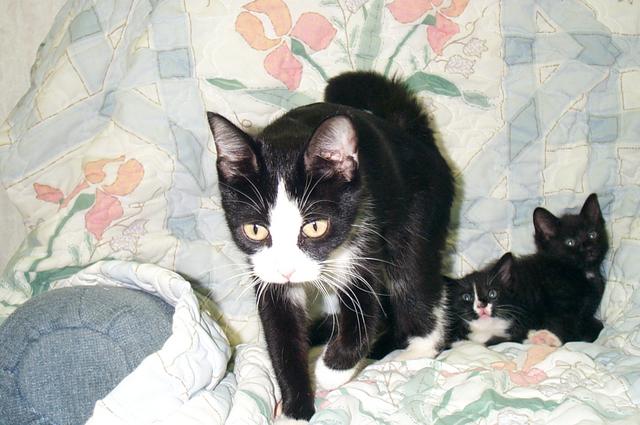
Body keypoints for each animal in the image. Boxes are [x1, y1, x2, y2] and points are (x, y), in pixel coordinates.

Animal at [207, 71, 454, 421]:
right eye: (255, 229)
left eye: (315, 226)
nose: (287, 270)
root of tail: (410, 133)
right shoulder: (265, 273)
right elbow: (281, 331)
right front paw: (295, 411)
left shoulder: (363, 230)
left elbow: (365, 311)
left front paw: (330, 372)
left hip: (418, 212)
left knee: (414, 277)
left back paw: (417, 350)